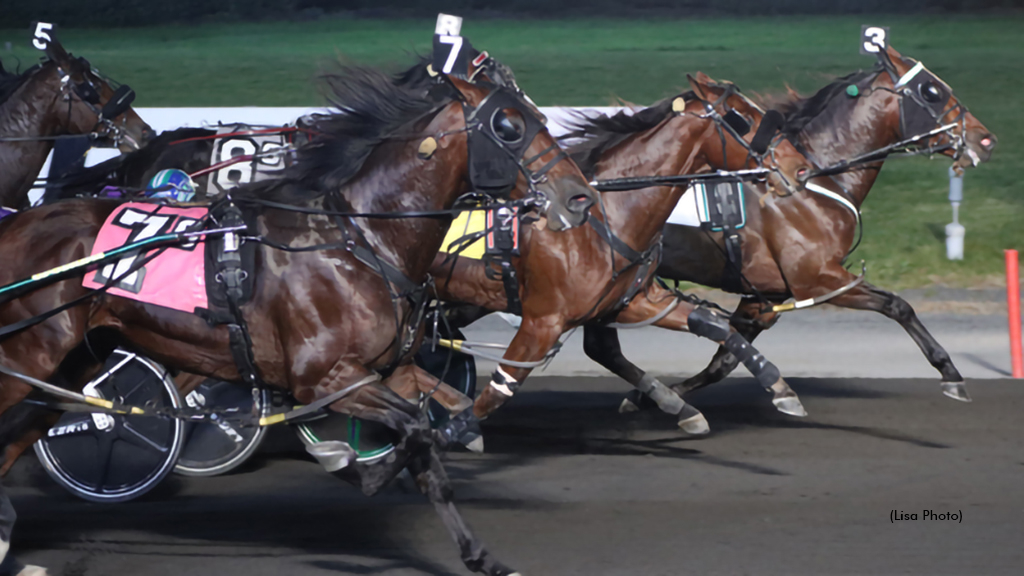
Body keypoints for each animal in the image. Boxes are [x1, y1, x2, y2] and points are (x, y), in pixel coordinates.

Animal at [0, 62, 593, 573]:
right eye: (509, 126)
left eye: (539, 117)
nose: (579, 197)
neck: (361, 239)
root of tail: (17, 225)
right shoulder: (325, 377)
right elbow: (411, 429)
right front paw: (352, 463)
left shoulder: (382, 372)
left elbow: (427, 434)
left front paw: (478, 553)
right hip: (28, 355)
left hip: (70, 363)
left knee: (17, 436)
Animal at [428, 71, 811, 444]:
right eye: (743, 118)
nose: (800, 168)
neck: (606, 218)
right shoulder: (542, 322)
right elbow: (498, 390)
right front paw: (446, 430)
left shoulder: (631, 301)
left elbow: (713, 324)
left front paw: (777, 388)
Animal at [647, 47, 999, 409]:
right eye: (931, 91)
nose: (986, 139)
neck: (809, 182)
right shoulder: (816, 279)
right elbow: (897, 305)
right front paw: (949, 372)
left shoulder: (765, 296)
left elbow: (725, 359)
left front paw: (660, 395)